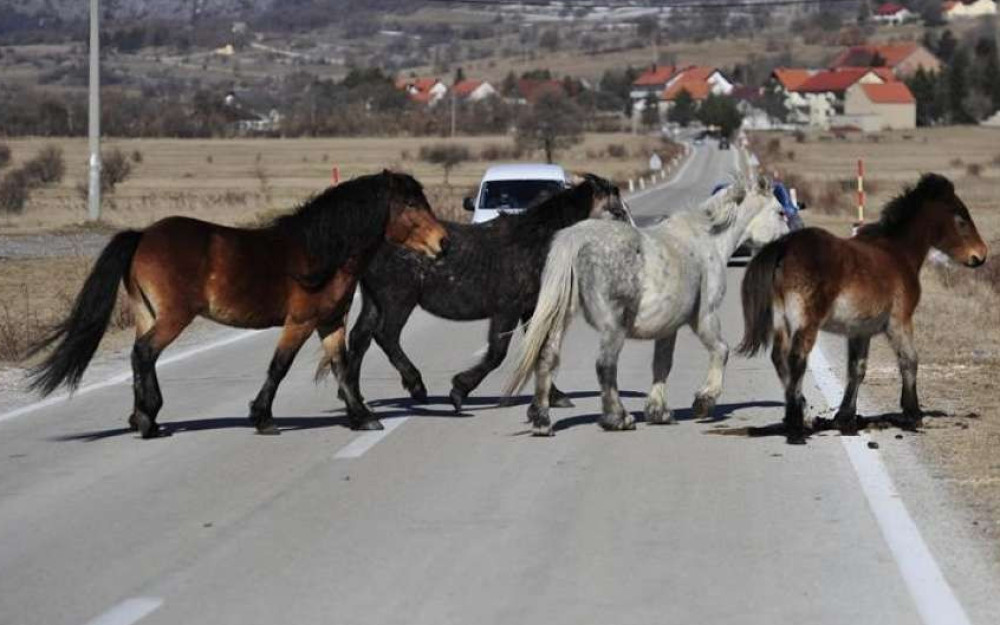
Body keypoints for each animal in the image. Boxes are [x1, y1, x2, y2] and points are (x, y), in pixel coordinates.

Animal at [25, 168, 448, 436]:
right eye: (410, 204)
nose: (443, 243)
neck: (321, 252)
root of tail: (143, 235)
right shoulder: (300, 321)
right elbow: (279, 367)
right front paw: (262, 418)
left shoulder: (330, 323)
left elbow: (342, 367)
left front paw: (361, 416)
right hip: (173, 316)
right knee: (144, 353)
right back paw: (148, 420)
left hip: (147, 313)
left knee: (139, 355)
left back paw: (143, 417)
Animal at [340, 173, 628, 422]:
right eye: (616, 209)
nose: (630, 239)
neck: (535, 241)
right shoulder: (507, 310)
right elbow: (497, 353)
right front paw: (458, 391)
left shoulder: (530, 308)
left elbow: (540, 348)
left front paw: (555, 396)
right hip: (398, 300)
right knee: (385, 335)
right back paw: (416, 386)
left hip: (375, 301)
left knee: (359, 339)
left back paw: (352, 398)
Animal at [508, 176, 788, 434]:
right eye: (781, 212)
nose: (787, 247)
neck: (707, 240)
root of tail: (576, 237)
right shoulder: (705, 316)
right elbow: (721, 350)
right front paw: (704, 401)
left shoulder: (669, 327)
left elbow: (662, 364)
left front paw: (658, 412)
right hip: (613, 326)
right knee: (605, 365)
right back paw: (618, 419)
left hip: (561, 318)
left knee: (546, 357)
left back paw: (542, 420)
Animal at [740, 172, 988, 444]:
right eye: (961, 219)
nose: (980, 255)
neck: (897, 253)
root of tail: (784, 247)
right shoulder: (899, 321)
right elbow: (909, 360)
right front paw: (913, 413)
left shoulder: (860, 330)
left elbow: (856, 369)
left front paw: (845, 417)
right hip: (805, 322)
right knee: (796, 359)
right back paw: (796, 425)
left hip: (780, 320)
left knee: (779, 357)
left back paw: (798, 412)